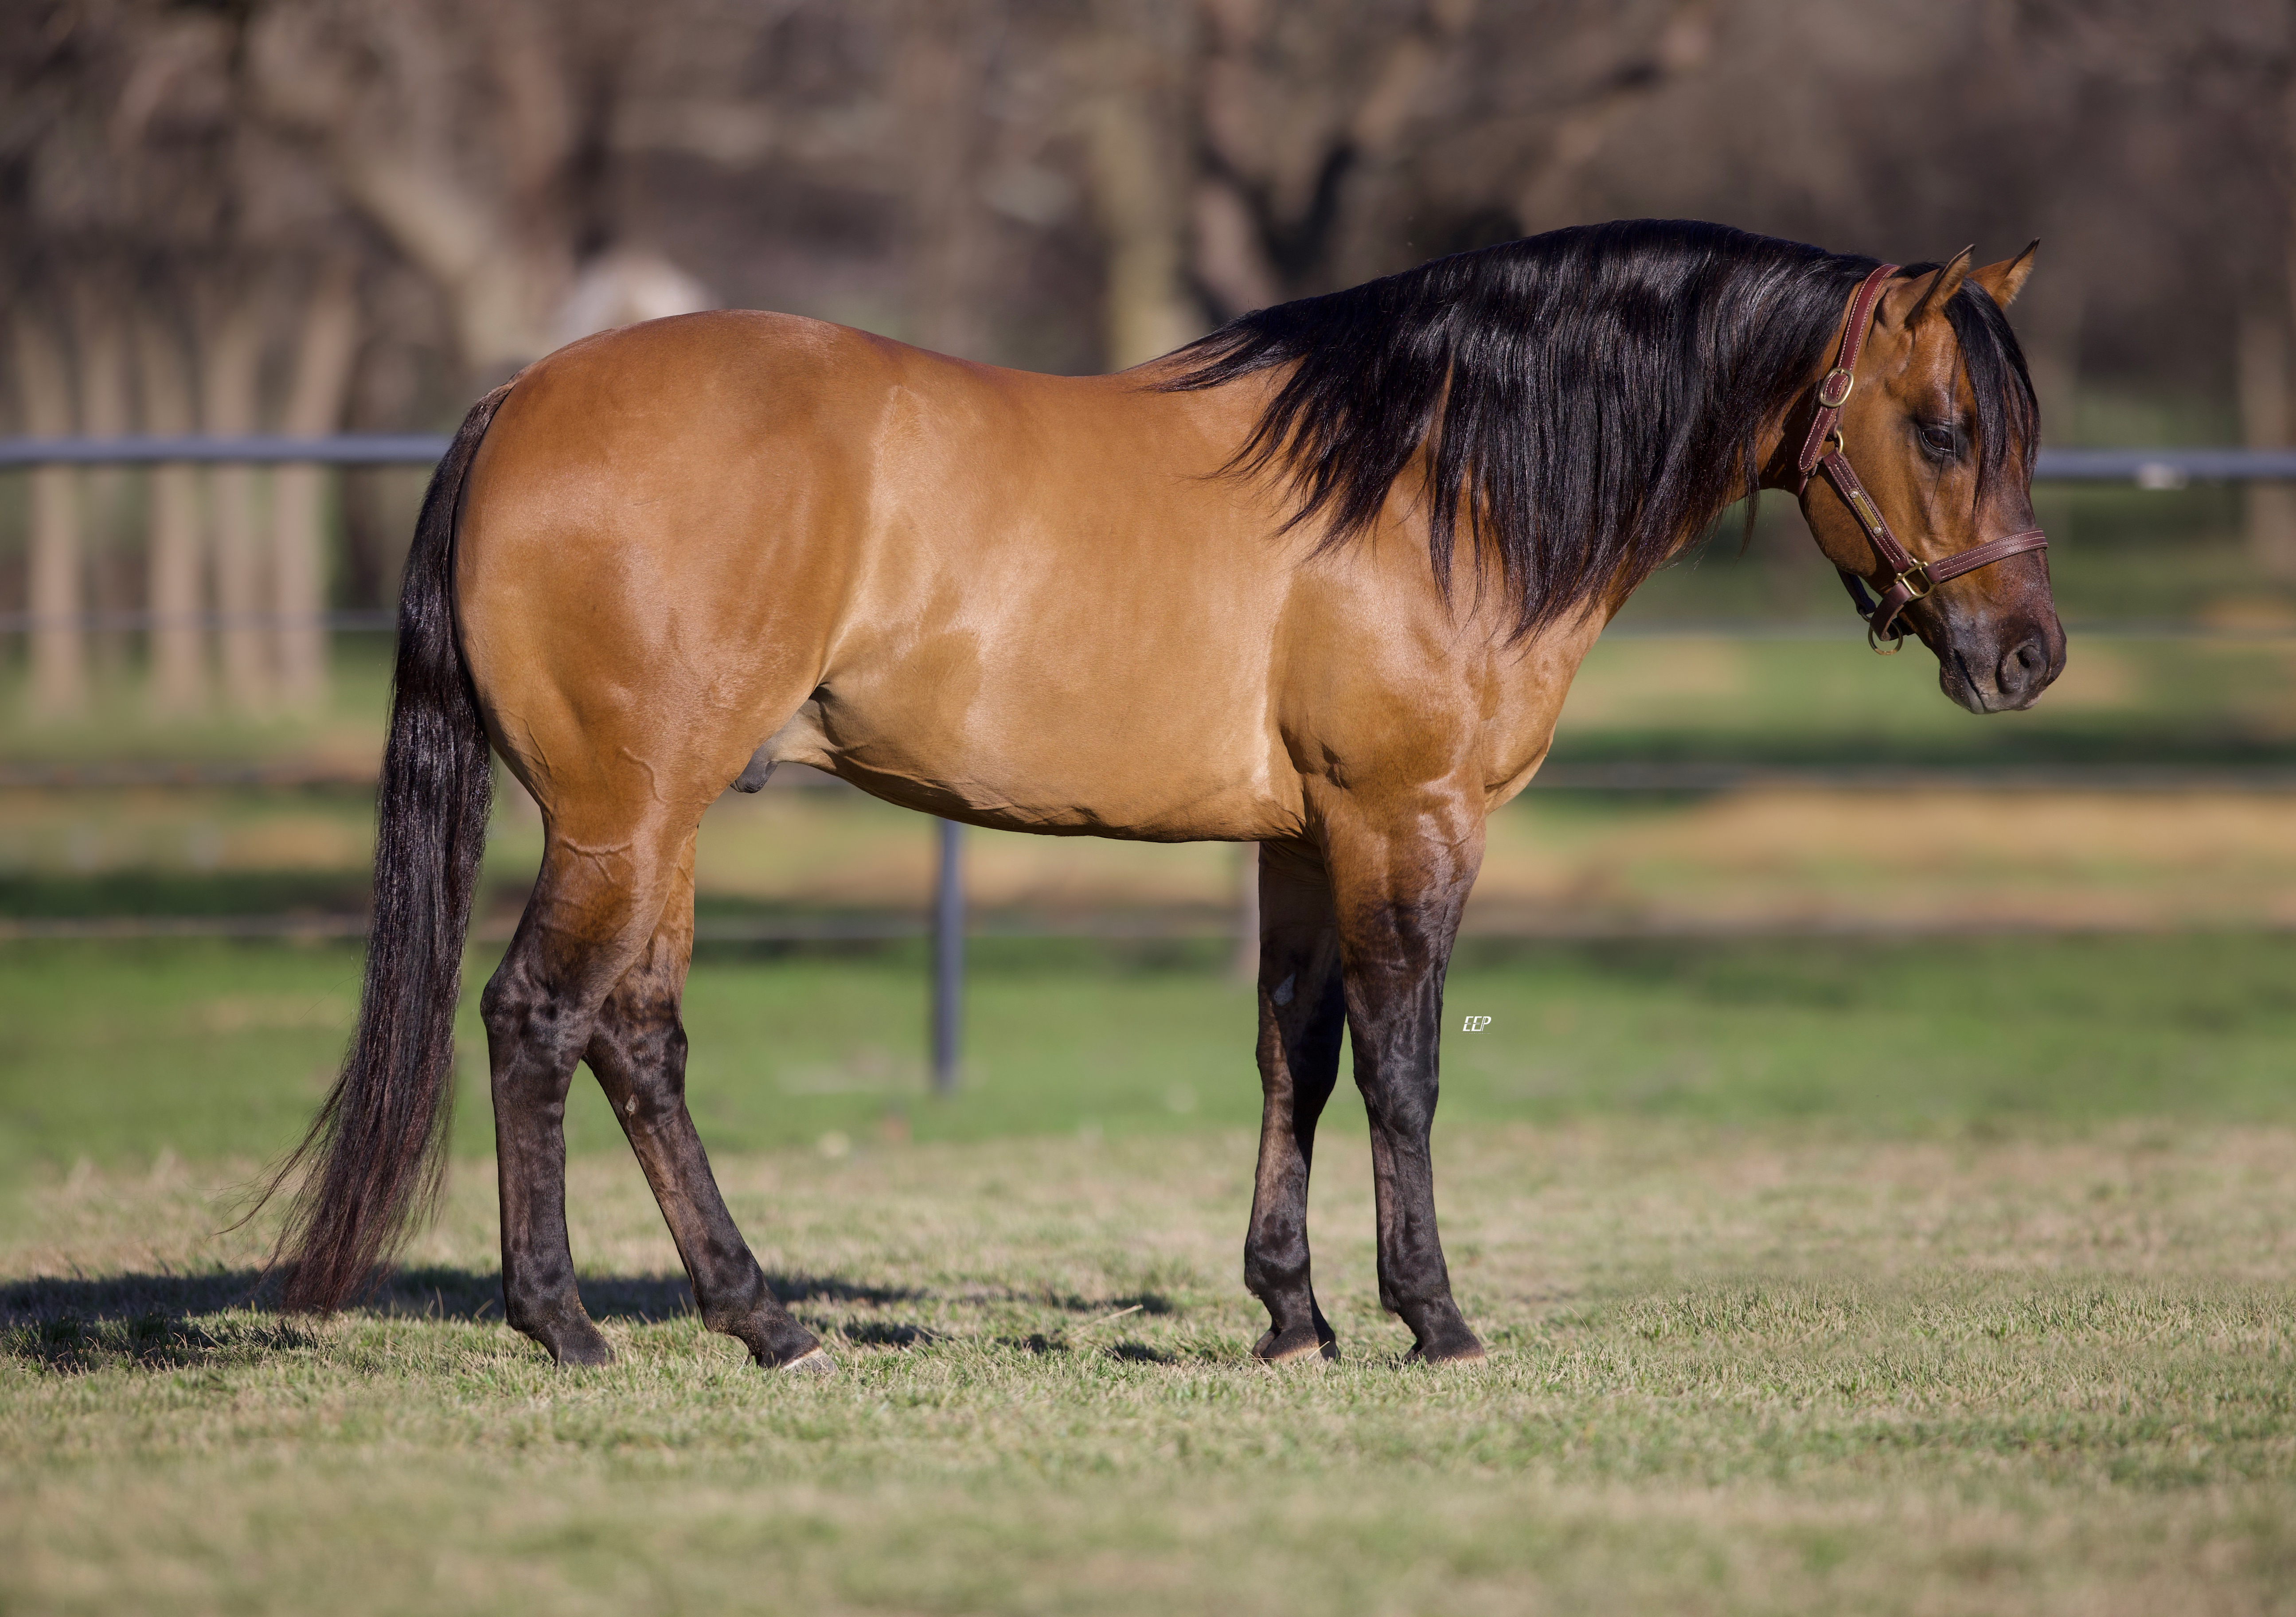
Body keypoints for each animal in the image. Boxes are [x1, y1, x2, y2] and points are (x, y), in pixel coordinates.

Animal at [265, 219, 2061, 1372]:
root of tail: (521, 398)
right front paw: (1432, 1318)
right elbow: (1403, 1074)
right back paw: (564, 1322)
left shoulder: (1301, 842)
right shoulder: (1406, 819)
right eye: (1938, 424)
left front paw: (1290, 1315)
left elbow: (1294, 1061)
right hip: (623, 815)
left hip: (666, 822)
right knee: (534, 1017)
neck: (1427, 482)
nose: (2028, 654)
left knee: (636, 1038)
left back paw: (761, 1317)